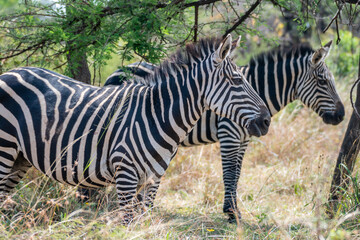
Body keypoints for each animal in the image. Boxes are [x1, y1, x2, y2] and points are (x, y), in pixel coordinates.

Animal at [0, 35, 272, 223]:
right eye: (237, 80)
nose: (267, 120)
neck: (157, 116)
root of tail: (11, 71)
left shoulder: (153, 178)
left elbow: (144, 220)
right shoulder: (126, 174)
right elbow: (129, 223)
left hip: (19, 159)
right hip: (5, 149)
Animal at [102, 40, 344, 222]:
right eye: (322, 81)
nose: (342, 115)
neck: (258, 88)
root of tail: (119, 69)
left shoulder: (245, 138)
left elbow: (237, 173)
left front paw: (234, 210)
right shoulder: (229, 134)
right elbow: (228, 172)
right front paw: (231, 212)